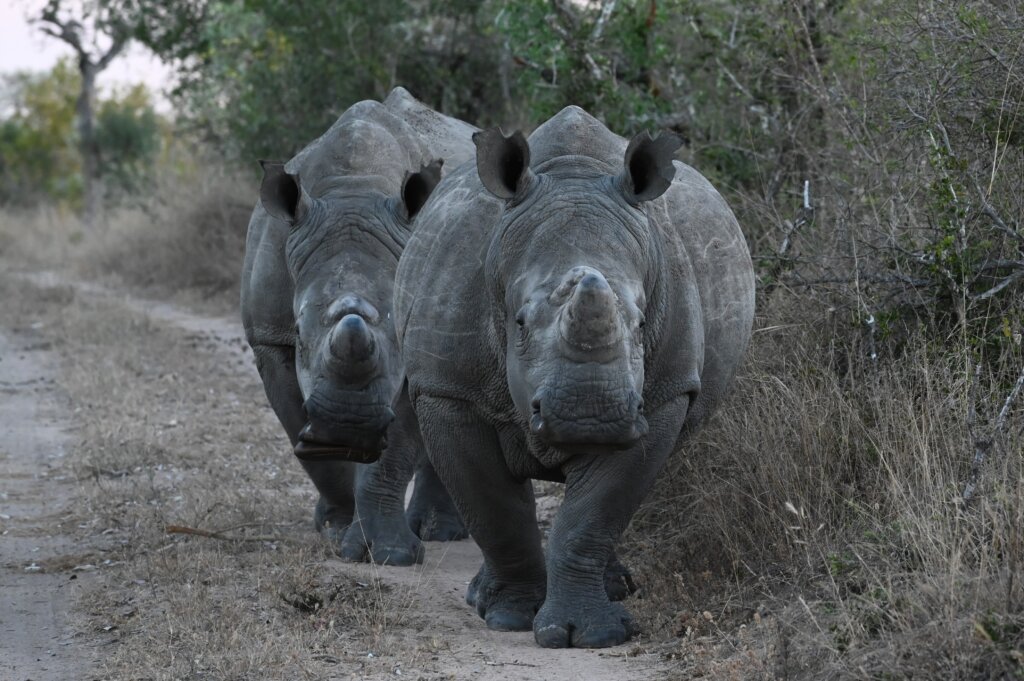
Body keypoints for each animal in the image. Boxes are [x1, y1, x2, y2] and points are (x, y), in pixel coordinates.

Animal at [239, 87, 475, 565]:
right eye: (298, 331)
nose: (348, 422)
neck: (353, 192)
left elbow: (397, 448)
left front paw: (389, 554)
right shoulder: (270, 338)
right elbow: (305, 436)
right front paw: (337, 529)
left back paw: (439, 532)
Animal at [395, 107, 757, 647]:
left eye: (643, 323)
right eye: (519, 322)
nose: (590, 417)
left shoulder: (664, 396)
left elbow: (598, 513)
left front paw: (591, 634)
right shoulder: (448, 389)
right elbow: (495, 509)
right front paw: (509, 617)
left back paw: (617, 588)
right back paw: (485, 596)